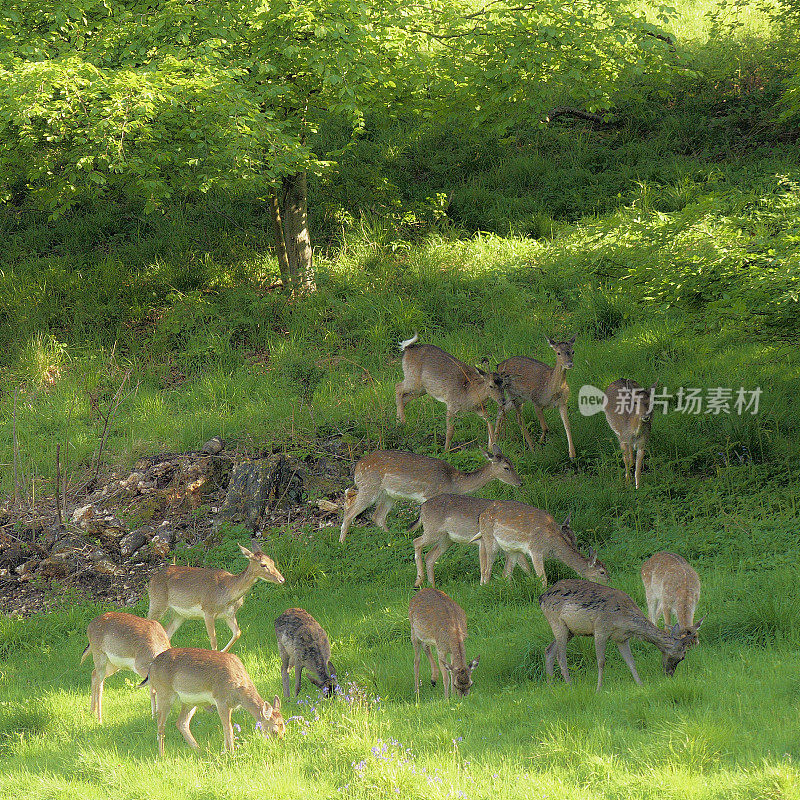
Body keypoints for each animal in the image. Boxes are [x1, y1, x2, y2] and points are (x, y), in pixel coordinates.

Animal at [142, 648, 286, 752]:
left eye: (284, 728)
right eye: (274, 730)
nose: (279, 743)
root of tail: (151, 668)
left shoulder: (229, 705)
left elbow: (226, 727)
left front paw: (225, 751)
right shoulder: (221, 700)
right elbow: (228, 728)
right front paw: (231, 753)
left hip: (189, 702)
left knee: (181, 723)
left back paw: (199, 751)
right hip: (164, 693)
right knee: (160, 726)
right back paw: (161, 755)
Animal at [147, 540, 284, 652]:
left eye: (272, 561)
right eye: (263, 564)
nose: (281, 579)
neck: (227, 593)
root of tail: (151, 580)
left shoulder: (229, 614)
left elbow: (238, 632)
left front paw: (223, 652)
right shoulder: (208, 610)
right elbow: (213, 640)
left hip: (179, 614)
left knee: (166, 632)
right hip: (157, 602)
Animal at [340, 444, 520, 544]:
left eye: (512, 463)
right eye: (506, 467)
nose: (520, 482)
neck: (453, 483)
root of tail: (357, 467)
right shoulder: (430, 495)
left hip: (388, 494)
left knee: (377, 516)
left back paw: (392, 538)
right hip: (370, 486)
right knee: (350, 512)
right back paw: (342, 542)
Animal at [466, 500, 608, 588]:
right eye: (602, 572)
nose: (609, 582)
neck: (551, 545)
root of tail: (481, 515)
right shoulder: (536, 550)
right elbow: (543, 578)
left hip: (513, 550)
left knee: (505, 574)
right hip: (489, 539)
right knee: (486, 570)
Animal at [536, 580, 700, 692]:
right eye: (683, 656)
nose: (669, 675)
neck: (625, 619)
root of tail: (541, 598)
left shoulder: (621, 638)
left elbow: (631, 662)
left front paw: (640, 684)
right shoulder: (600, 629)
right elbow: (601, 662)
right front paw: (598, 689)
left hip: (570, 631)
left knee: (549, 649)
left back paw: (550, 686)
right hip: (557, 623)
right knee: (561, 656)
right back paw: (570, 685)